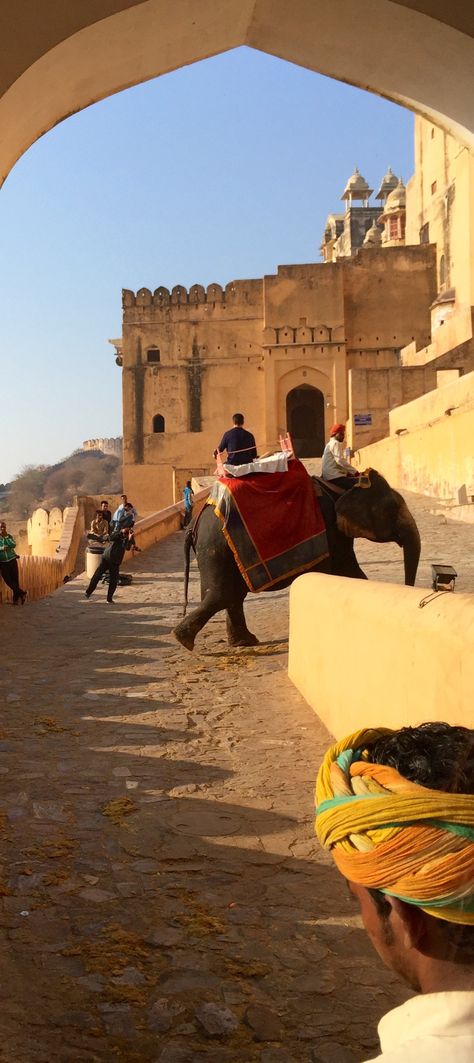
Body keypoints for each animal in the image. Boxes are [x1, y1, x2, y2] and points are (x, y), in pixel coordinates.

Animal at [172, 469, 420, 650]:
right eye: (392, 508)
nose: (409, 589)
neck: (343, 485)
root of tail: (193, 524)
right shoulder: (329, 529)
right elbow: (345, 570)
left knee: (232, 595)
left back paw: (242, 642)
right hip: (215, 545)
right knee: (222, 594)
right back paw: (183, 640)